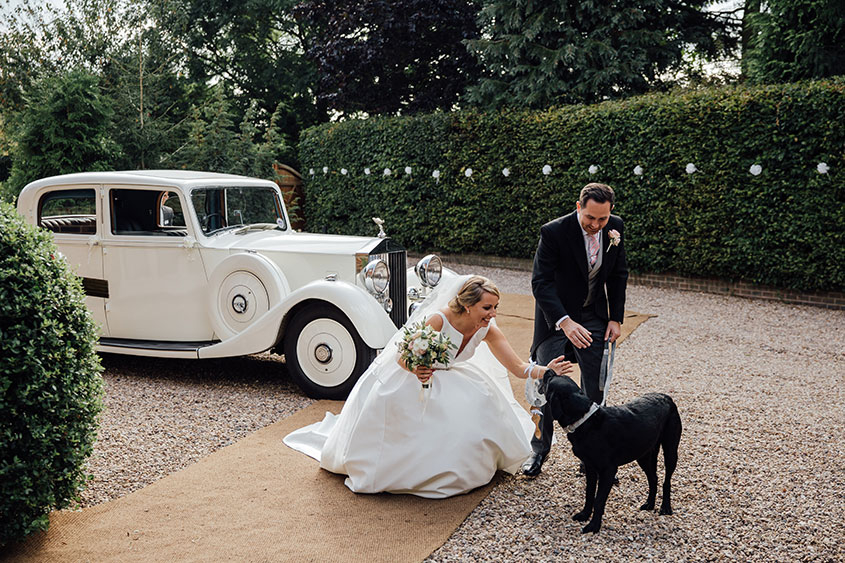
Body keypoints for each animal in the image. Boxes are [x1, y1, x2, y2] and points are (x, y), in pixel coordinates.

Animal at [542, 373, 682, 534]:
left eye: (549, 381)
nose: (548, 371)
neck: (584, 420)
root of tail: (667, 397)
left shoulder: (608, 471)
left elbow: (598, 500)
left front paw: (594, 526)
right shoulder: (590, 468)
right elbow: (589, 495)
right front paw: (585, 515)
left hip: (670, 451)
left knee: (666, 481)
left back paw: (665, 507)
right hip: (643, 456)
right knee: (653, 478)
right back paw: (649, 504)